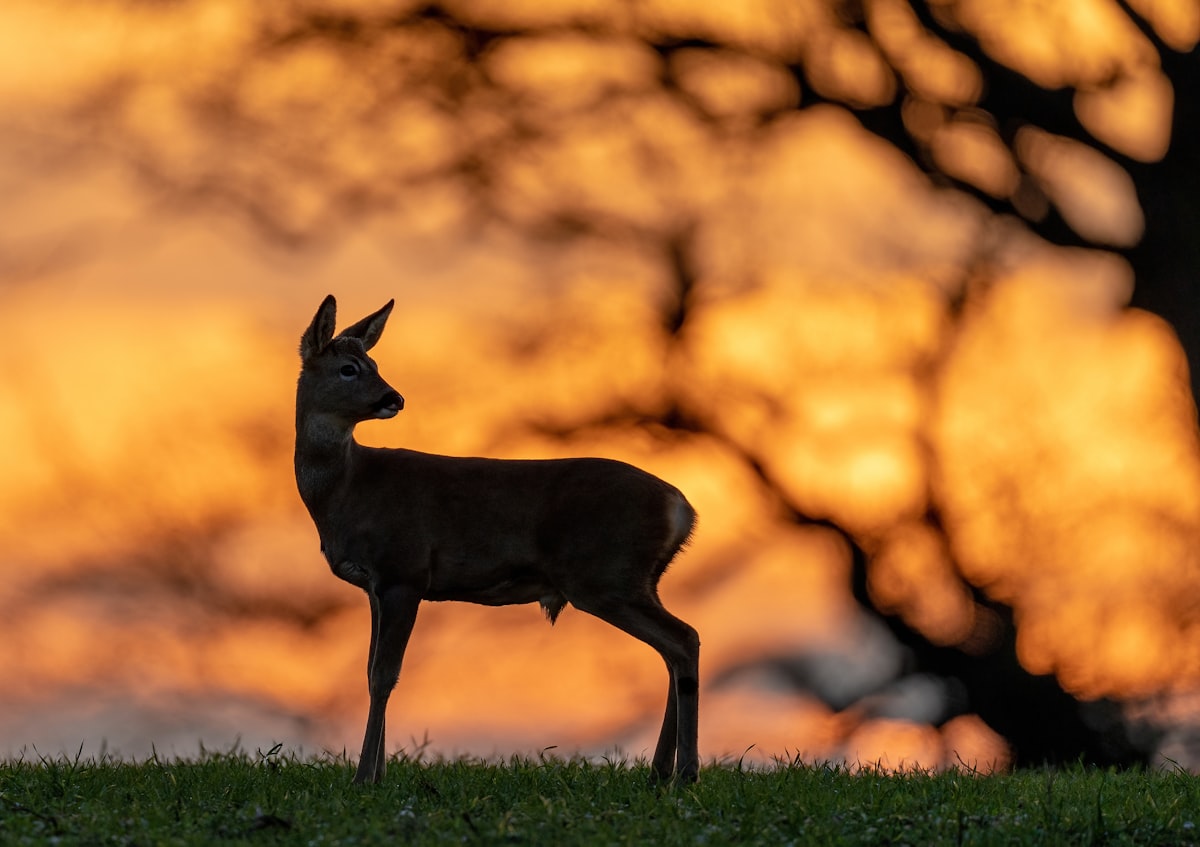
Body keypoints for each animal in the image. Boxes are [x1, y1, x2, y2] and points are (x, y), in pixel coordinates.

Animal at [294, 293, 700, 782]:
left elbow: (383, 675)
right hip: (634, 580)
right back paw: (660, 772)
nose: (394, 398)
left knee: (684, 640)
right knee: (672, 651)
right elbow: (372, 669)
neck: (347, 488)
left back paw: (686, 773)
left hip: (607, 576)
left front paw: (363, 779)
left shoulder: (404, 570)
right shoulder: (376, 585)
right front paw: (378, 774)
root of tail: (681, 506)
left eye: (372, 363)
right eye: (350, 368)